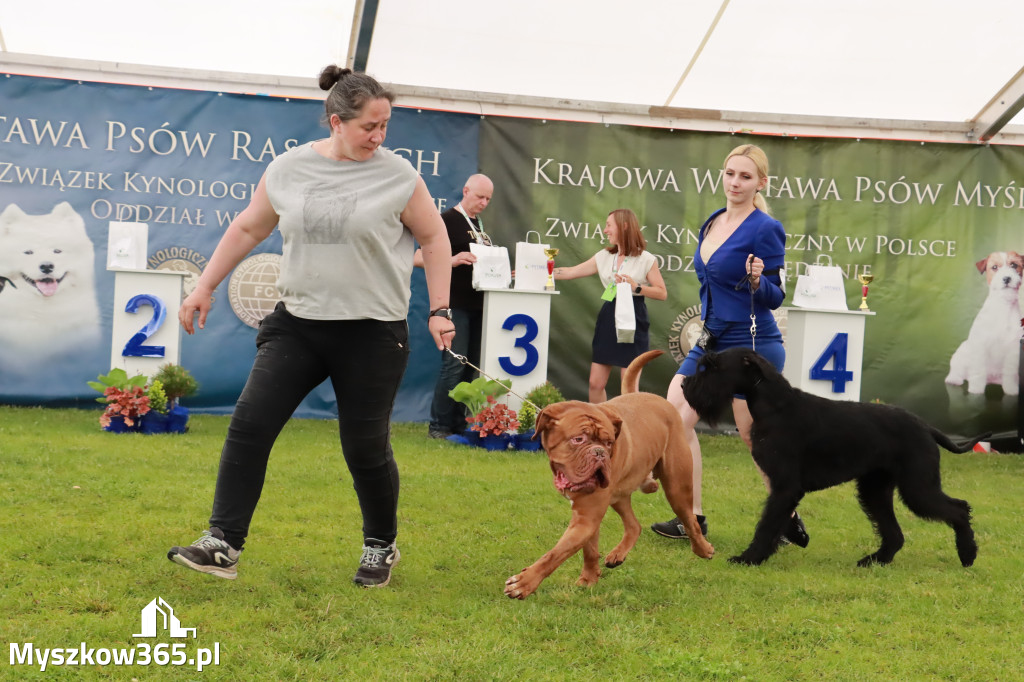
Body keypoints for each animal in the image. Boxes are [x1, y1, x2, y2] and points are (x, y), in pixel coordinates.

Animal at [503, 348, 712, 598]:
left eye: (609, 442)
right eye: (578, 439)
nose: (600, 453)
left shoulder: (587, 517)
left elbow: (555, 554)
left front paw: (524, 582)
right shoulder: (587, 515)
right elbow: (589, 549)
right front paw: (589, 578)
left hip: (677, 487)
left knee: (690, 520)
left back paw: (703, 549)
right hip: (620, 496)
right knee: (634, 525)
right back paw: (618, 554)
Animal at [684, 348, 978, 565]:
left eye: (712, 366)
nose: (686, 384)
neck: (776, 406)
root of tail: (926, 426)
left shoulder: (786, 485)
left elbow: (767, 524)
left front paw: (749, 558)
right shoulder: (783, 486)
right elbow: (775, 520)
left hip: (917, 488)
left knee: (959, 509)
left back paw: (968, 554)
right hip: (875, 489)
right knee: (894, 533)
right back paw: (876, 560)